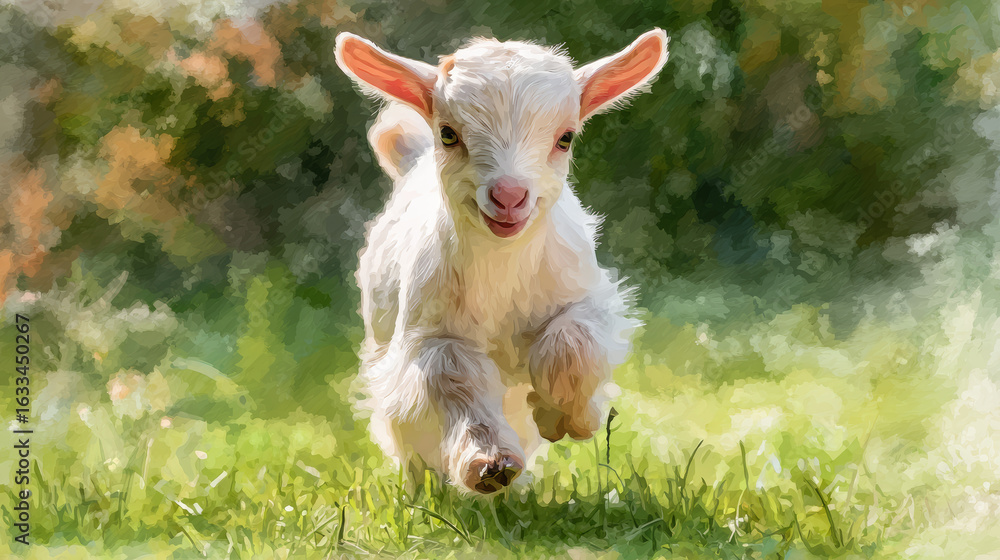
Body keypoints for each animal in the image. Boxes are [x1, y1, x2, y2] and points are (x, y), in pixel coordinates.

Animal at [335, 29, 667, 495]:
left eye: (566, 137)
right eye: (449, 134)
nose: (509, 196)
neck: (502, 270)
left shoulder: (584, 299)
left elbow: (571, 344)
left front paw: (567, 418)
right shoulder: (431, 335)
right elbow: (454, 379)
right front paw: (490, 465)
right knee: (408, 437)